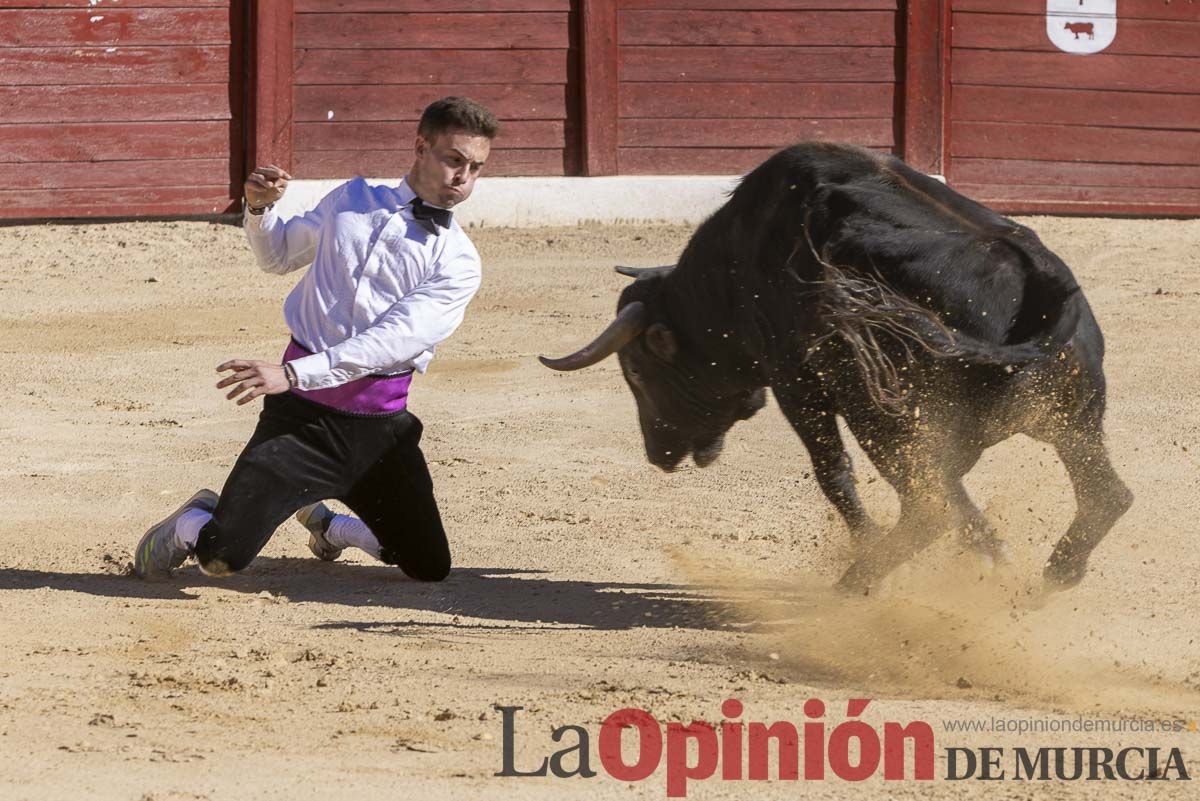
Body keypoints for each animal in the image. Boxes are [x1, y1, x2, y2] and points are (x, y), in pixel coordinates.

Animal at [544, 143, 1132, 594]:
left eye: (636, 372)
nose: (658, 454)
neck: (732, 272)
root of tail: (1042, 286)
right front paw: (991, 554)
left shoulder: (797, 385)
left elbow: (834, 473)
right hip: (1071, 423)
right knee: (1105, 496)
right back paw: (1051, 576)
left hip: (887, 420)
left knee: (929, 508)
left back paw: (855, 584)